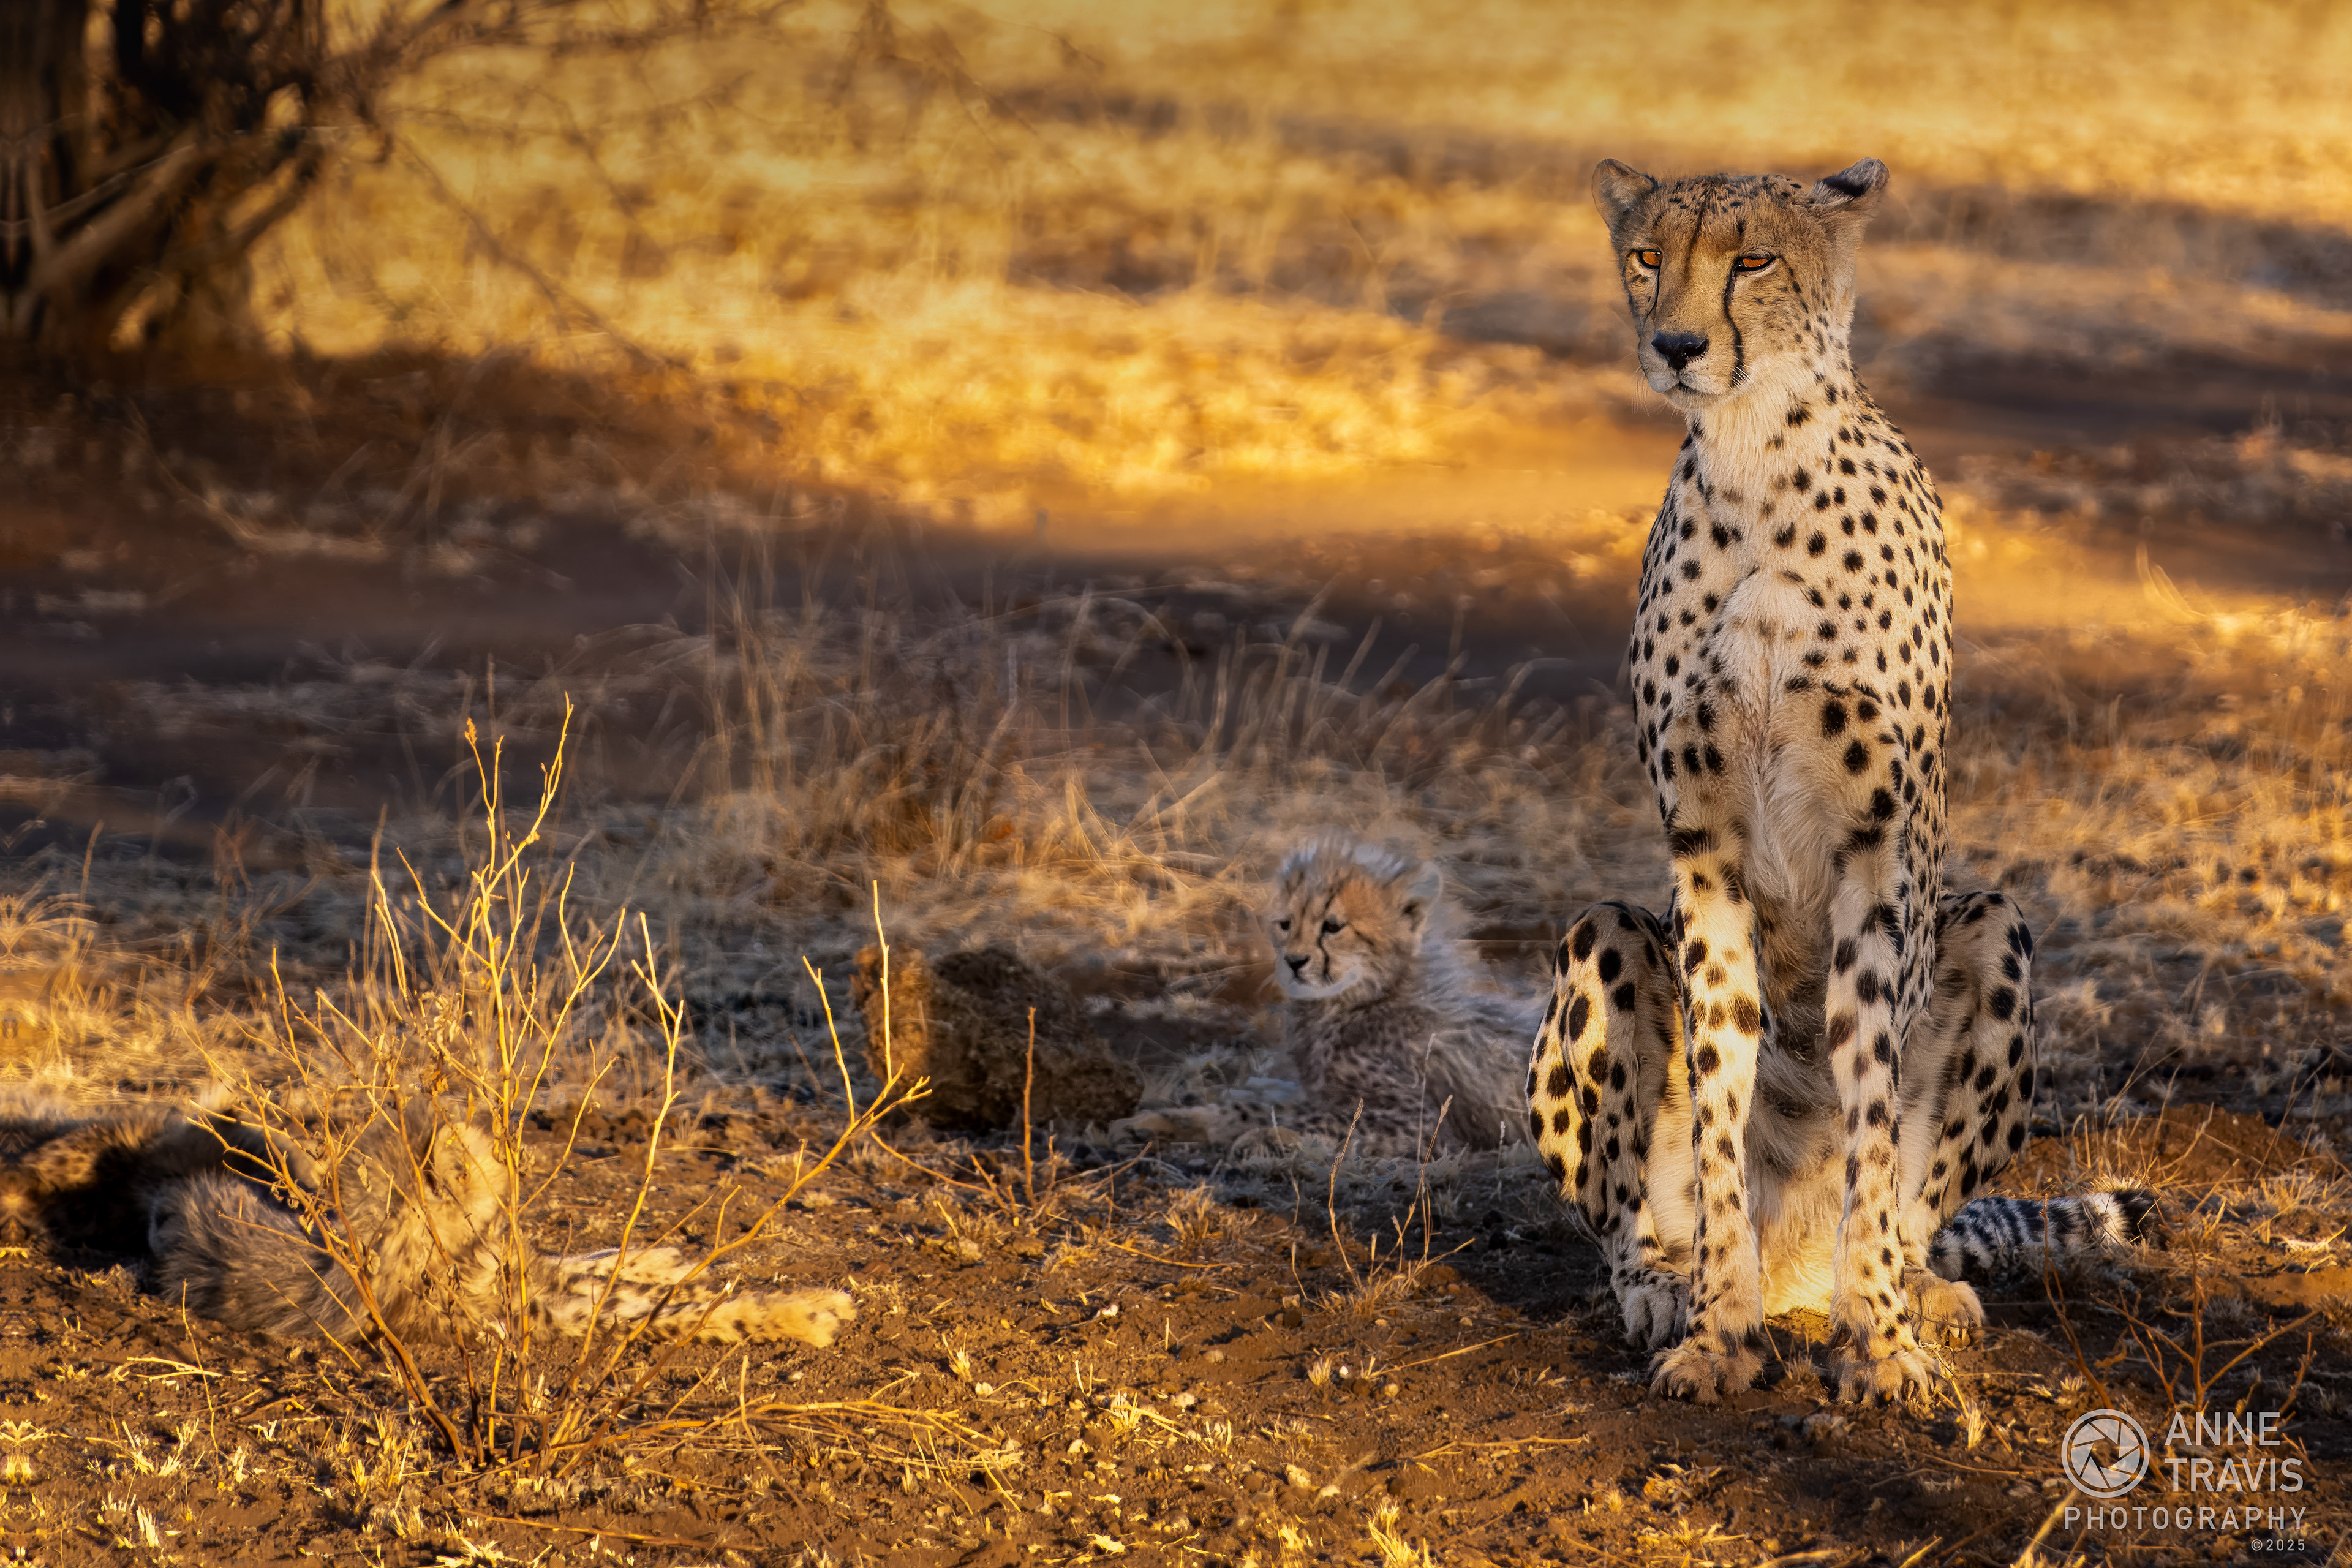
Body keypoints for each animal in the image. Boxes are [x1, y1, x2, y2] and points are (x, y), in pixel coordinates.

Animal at [4, 1094, 855, 1349]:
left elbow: (598, 1259)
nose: (516, 1159)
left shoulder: (528, 1276)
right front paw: (806, 1311)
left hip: (262, 1140)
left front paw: (664, 1256)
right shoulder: (533, 1308)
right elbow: (670, 1308)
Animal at [1115, 836, 1538, 1161]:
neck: (1360, 1001)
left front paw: (1270, 1137)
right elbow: (1258, 1108)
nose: (1294, 962)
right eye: (1285, 924)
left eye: (1333, 927)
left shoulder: (1423, 1123)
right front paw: (1172, 1121)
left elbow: (1324, 1120)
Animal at [1525, 157, 2156, 1405]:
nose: (1674, 344)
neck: (1755, 462)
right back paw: (1669, 1285)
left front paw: (1881, 1347)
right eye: (1647, 256)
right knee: (1623, 1215)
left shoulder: (1882, 846)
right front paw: (1718, 1331)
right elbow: (1722, 1092)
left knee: (1914, 1207)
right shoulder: (1703, 848)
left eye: (1754, 258)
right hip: (1603, 934)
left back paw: (1905, 1291)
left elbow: (1868, 1099)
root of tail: (1799, 1274)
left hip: (1994, 924)